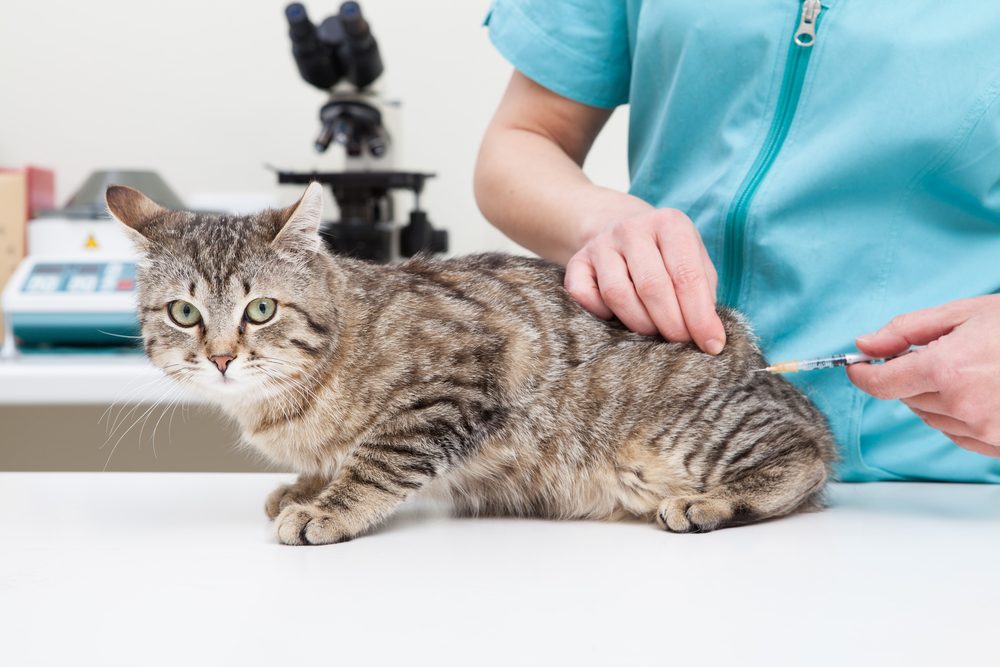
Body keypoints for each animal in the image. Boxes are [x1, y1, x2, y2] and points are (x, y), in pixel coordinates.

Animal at [107, 181, 836, 544]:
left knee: (805, 457)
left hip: (687, 435)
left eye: (260, 309)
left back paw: (710, 502)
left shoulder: (458, 378)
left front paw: (328, 508)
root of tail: (763, 363)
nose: (222, 358)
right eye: (184, 313)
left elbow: (377, 459)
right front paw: (308, 486)